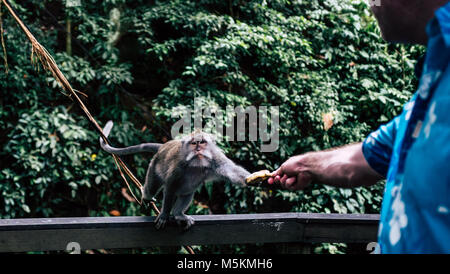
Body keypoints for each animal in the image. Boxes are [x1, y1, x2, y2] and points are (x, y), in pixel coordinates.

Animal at [99, 121, 251, 230]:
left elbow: (231, 171)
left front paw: (251, 179)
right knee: (153, 186)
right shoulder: (178, 166)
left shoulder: (215, 159)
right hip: (154, 167)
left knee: (187, 192)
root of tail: (163, 146)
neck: (196, 164)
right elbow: (170, 187)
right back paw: (146, 195)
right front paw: (164, 215)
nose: (198, 149)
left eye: (202, 142)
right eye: (194, 143)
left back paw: (178, 214)